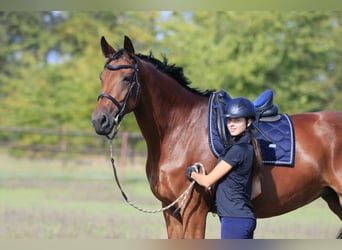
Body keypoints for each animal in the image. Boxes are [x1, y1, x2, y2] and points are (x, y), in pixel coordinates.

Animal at [91, 35, 342, 238]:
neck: (179, 131)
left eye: (126, 78)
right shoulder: (170, 211)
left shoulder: (194, 210)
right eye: (102, 77)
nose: (99, 120)